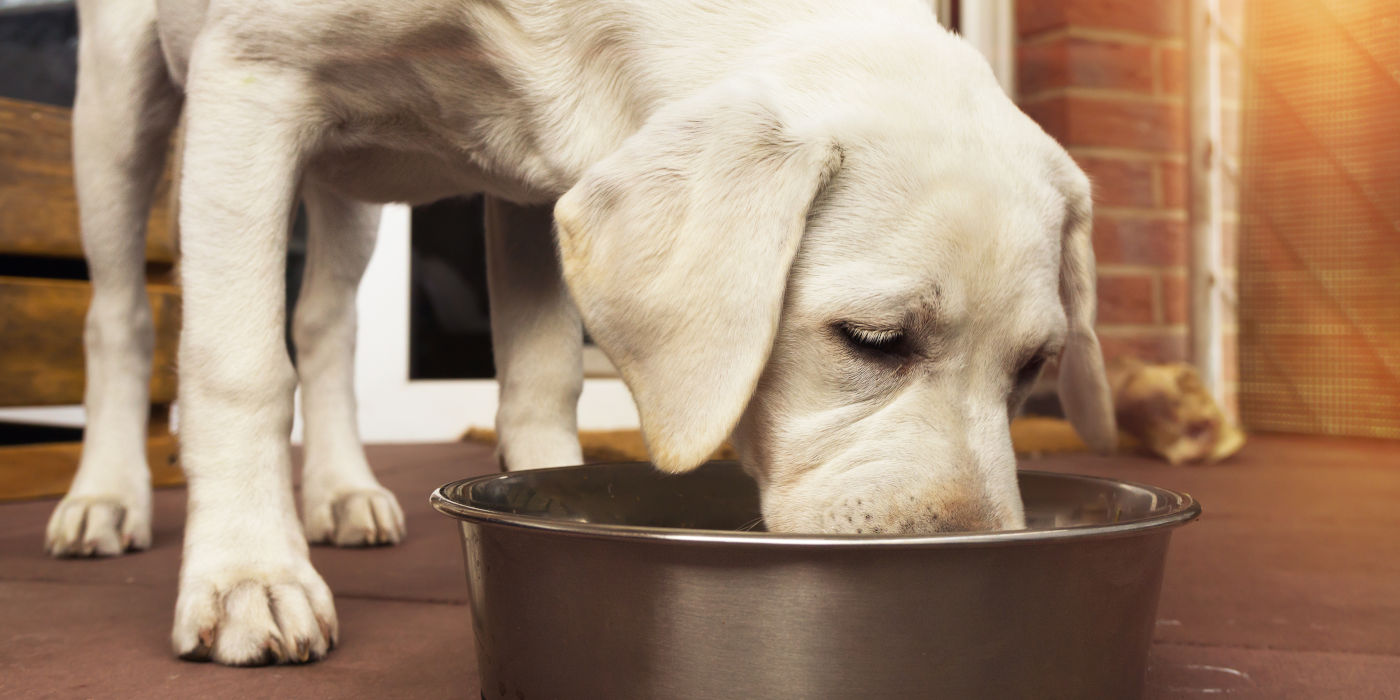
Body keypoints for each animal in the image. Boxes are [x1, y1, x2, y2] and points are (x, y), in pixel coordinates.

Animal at [46, 0, 1114, 666]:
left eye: (1034, 368)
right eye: (873, 340)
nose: (972, 562)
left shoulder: (532, 186)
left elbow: (539, 379)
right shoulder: (252, 75)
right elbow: (235, 364)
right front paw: (246, 577)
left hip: (343, 185)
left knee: (325, 325)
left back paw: (343, 491)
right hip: (121, 103)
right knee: (119, 318)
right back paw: (105, 497)